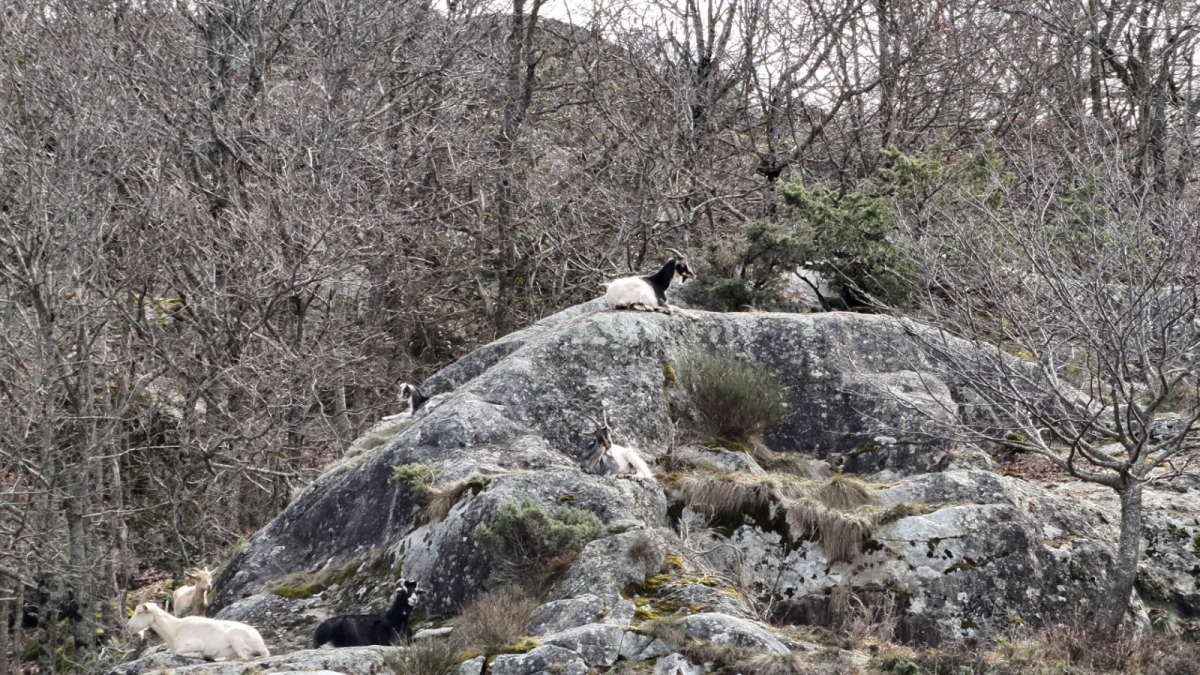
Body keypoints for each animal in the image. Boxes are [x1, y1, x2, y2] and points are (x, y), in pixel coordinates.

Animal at [126, 601, 269, 661]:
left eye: (140, 612)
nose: (128, 627)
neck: (174, 629)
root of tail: (261, 642)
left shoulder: (195, 643)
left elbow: (179, 653)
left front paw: (199, 655)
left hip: (236, 640)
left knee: (245, 657)